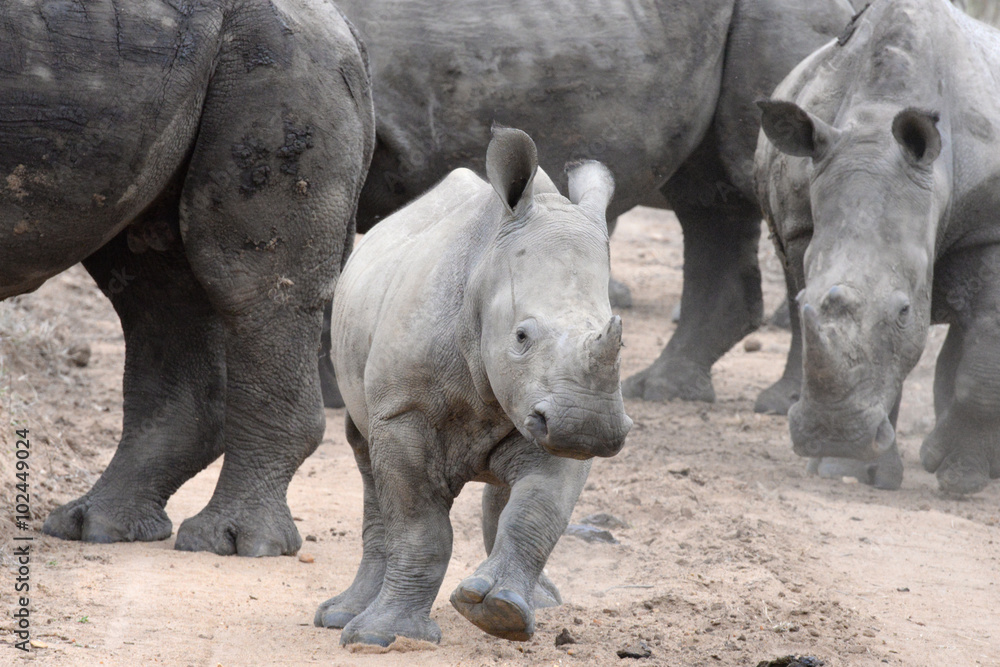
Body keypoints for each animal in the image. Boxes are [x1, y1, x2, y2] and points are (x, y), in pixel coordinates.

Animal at [1, 0, 375, 554]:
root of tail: (347, 25)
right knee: (155, 284)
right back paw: (96, 527)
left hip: (284, 58)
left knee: (243, 281)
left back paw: (233, 543)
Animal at [315, 128, 631, 646]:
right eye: (521, 337)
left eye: (618, 336)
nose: (587, 423)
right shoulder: (401, 412)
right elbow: (418, 525)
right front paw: (384, 637)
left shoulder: (553, 412)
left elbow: (537, 511)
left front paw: (500, 614)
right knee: (366, 466)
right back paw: (342, 619)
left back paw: (540, 602)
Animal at [756, 0, 1000, 493]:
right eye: (801, 299)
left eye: (904, 311)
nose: (830, 433)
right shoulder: (803, 229)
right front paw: (847, 466)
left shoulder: (992, 226)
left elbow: (986, 354)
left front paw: (961, 475)